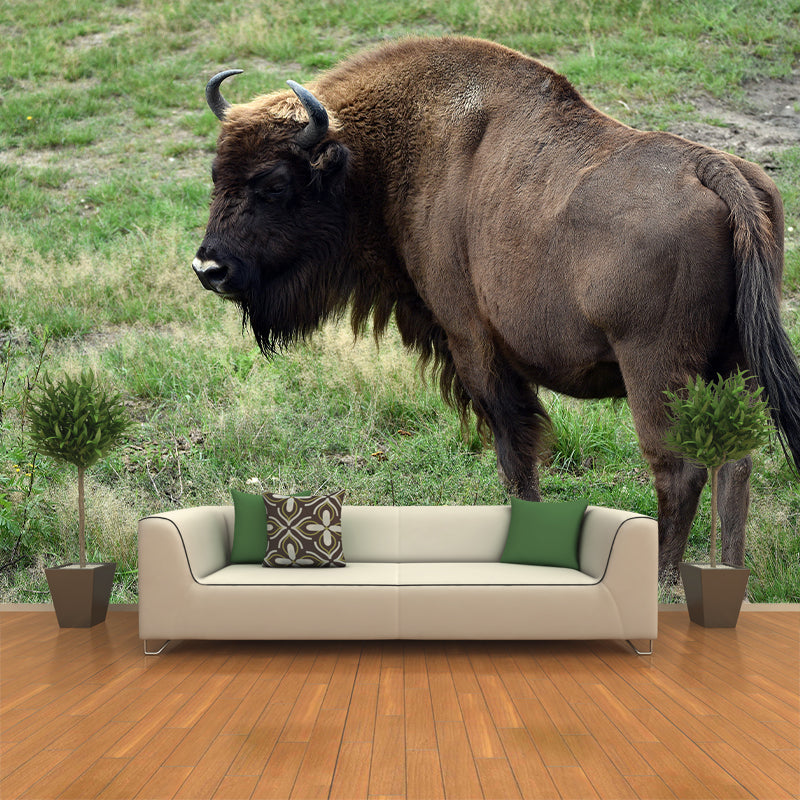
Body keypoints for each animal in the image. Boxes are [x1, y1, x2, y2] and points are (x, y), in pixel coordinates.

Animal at [192, 36, 800, 580]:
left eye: (274, 184)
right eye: (216, 174)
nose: (208, 268)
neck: (388, 155)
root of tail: (713, 169)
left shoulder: (471, 342)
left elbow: (514, 448)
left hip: (656, 370)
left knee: (680, 469)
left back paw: (663, 579)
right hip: (735, 366)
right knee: (735, 464)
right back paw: (728, 574)